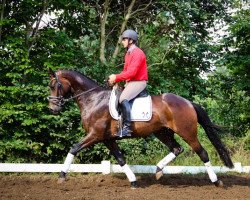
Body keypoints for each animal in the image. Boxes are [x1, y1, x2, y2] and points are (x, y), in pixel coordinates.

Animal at [47, 68, 233, 188]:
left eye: (55, 85)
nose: (53, 109)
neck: (94, 99)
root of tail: (188, 102)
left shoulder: (95, 135)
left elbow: (74, 148)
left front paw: (61, 176)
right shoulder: (107, 139)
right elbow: (121, 159)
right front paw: (134, 181)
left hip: (187, 132)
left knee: (202, 153)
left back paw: (216, 181)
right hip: (161, 132)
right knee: (177, 148)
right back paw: (158, 170)